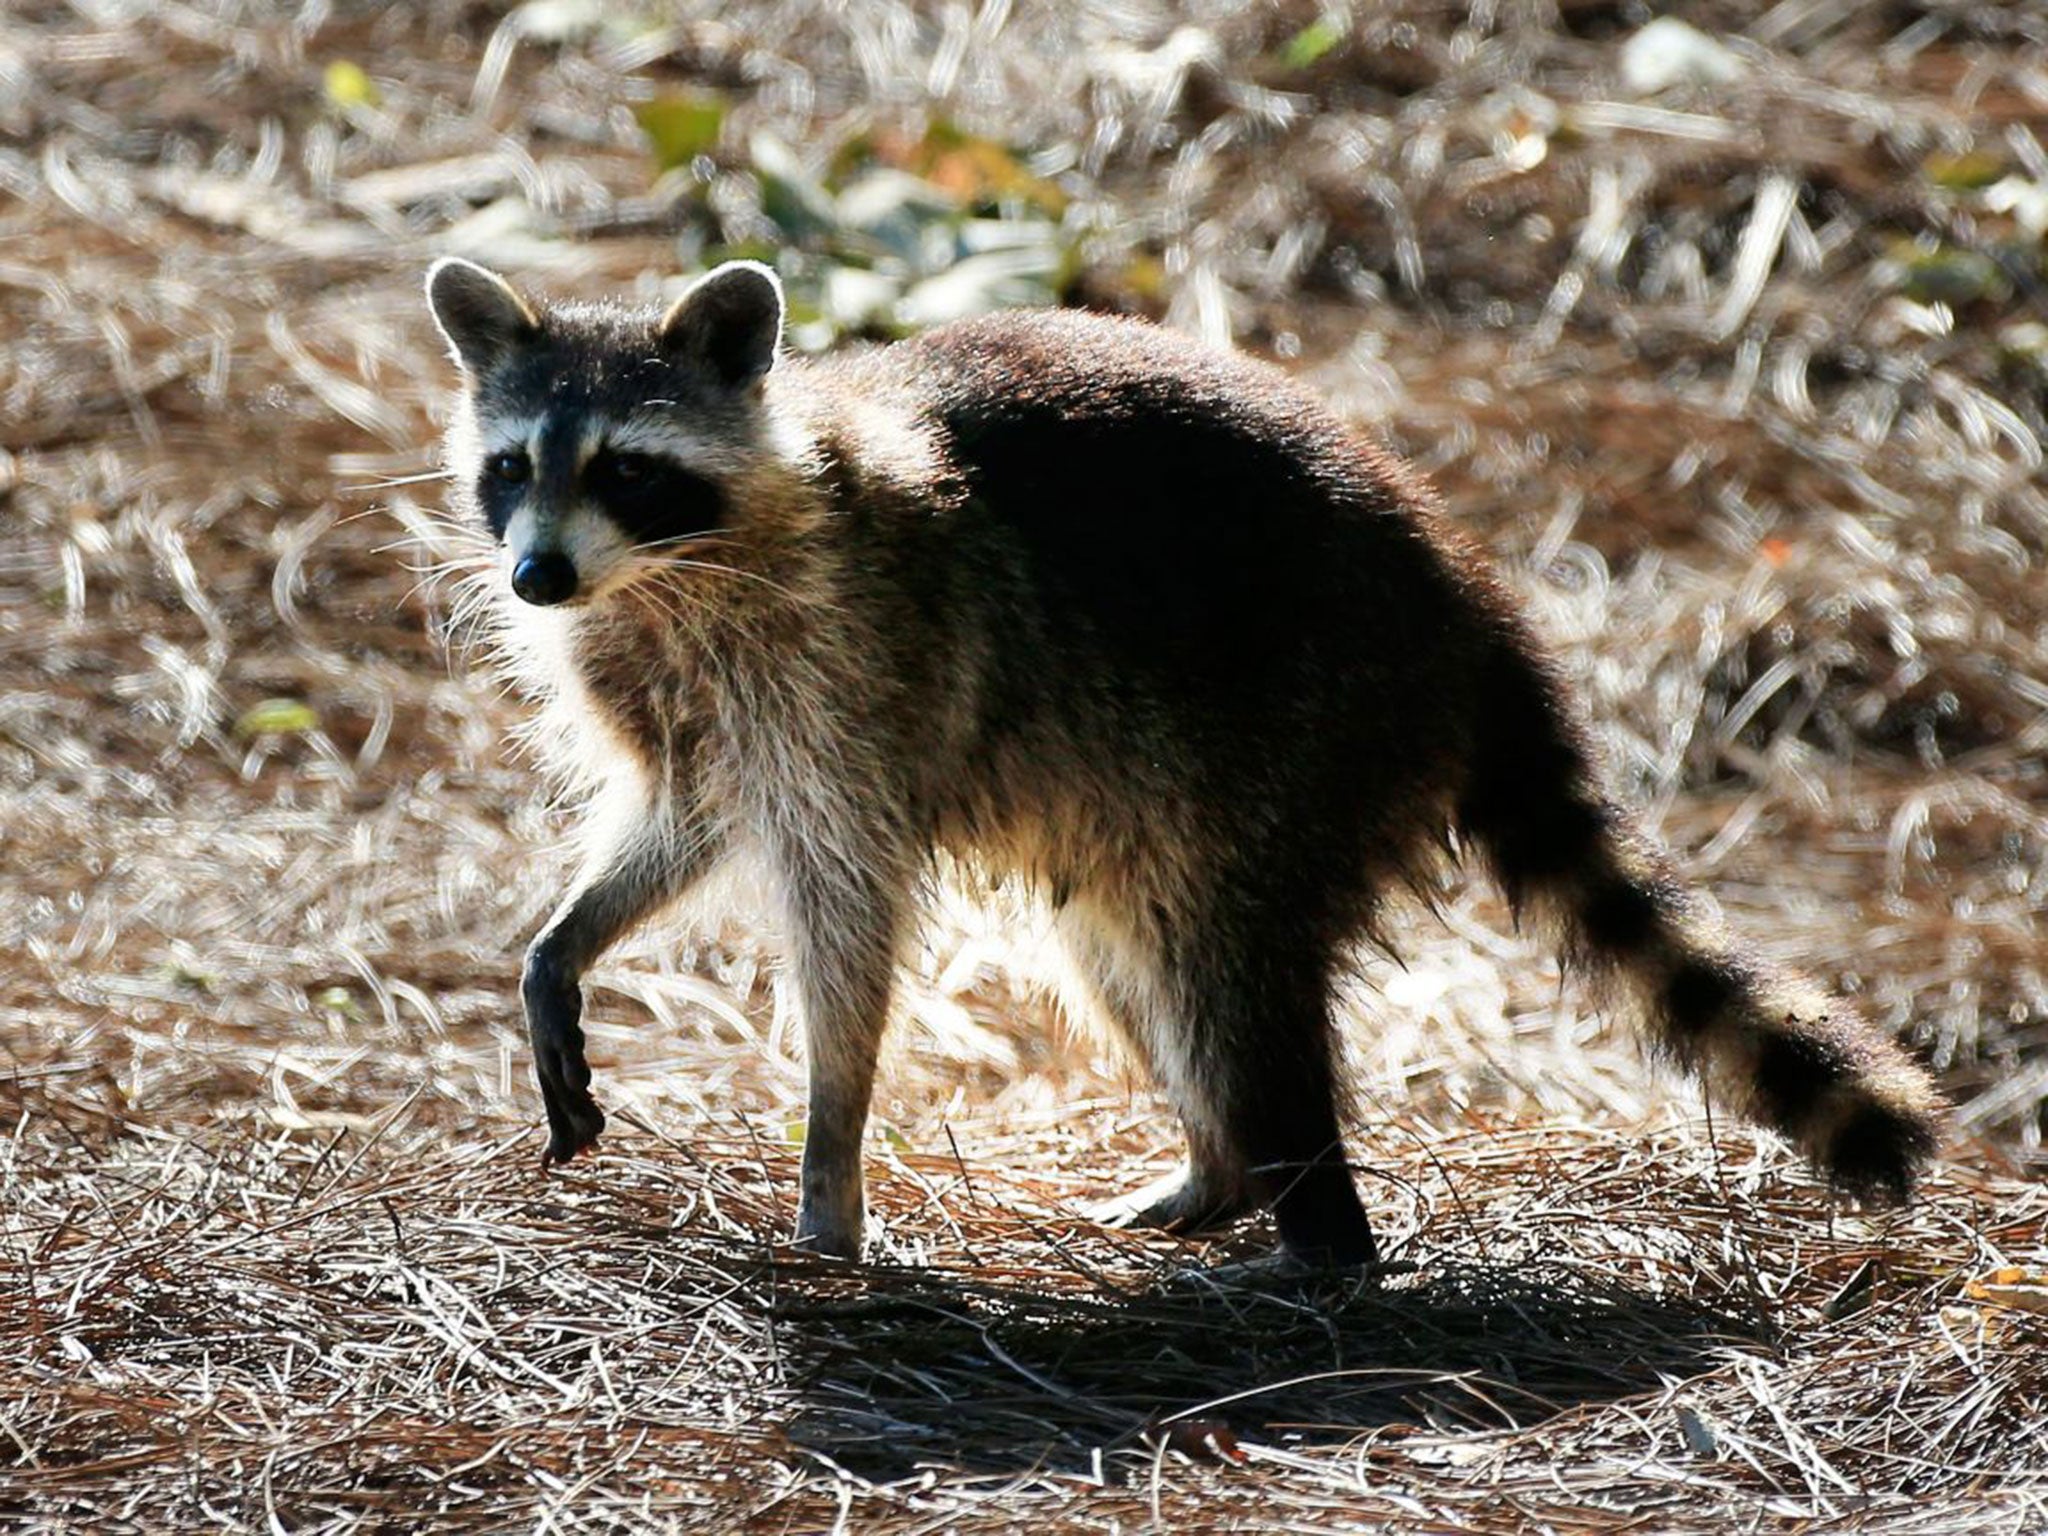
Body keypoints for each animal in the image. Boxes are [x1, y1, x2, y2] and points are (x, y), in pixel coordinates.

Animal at [423, 256, 1941, 1261]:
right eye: (511, 467)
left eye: (627, 468)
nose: (536, 576)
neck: (663, 577)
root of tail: (1469, 606)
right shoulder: (676, 693)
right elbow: (680, 819)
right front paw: (564, 943)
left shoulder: (849, 677)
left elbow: (847, 922)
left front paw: (832, 1149)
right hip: (1150, 800)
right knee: (1129, 957)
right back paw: (1218, 1174)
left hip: (1305, 732)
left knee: (1231, 982)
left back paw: (1320, 1234)